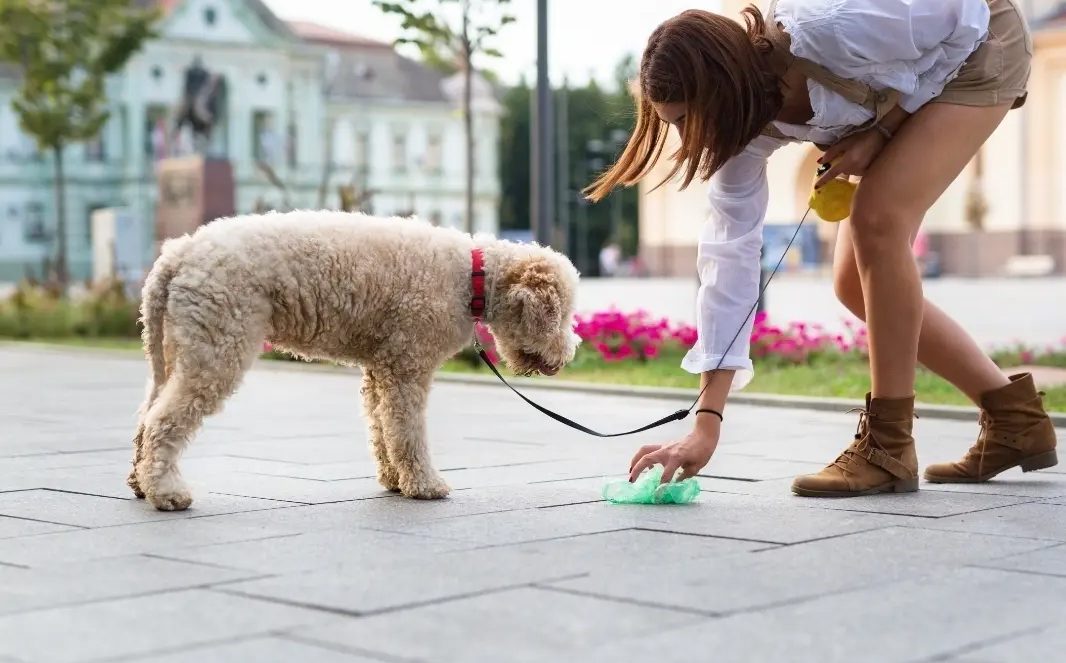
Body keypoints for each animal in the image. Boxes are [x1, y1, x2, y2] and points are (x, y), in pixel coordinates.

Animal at [131, 209, 584, 511]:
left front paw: (393, 480)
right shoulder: (408, 366)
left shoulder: (380, 369)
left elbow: (382, 428)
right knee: (164, 421)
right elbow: (407, 432)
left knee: (146, 415)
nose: (569, 354)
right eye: (562, 314)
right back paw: (167, 493)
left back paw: (140, 482)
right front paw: (425, 484)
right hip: (217, 344)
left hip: (177, 347)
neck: (472, 277)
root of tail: (179, 252)